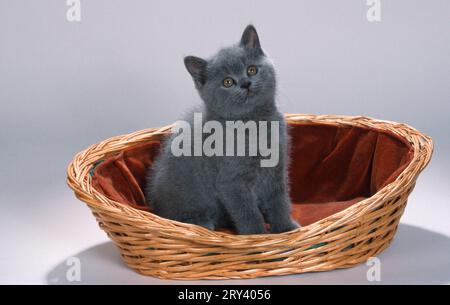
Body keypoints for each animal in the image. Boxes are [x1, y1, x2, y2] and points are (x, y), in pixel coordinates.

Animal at [144, 25, 298, 234]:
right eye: (227, 82)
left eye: (252, 69)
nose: (245, 83)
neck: (254, 121)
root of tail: (154, 206)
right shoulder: (232, 183)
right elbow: (248, 212)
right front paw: (257, 235)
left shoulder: (276, 170)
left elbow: (279, 202)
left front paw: (286, 230)